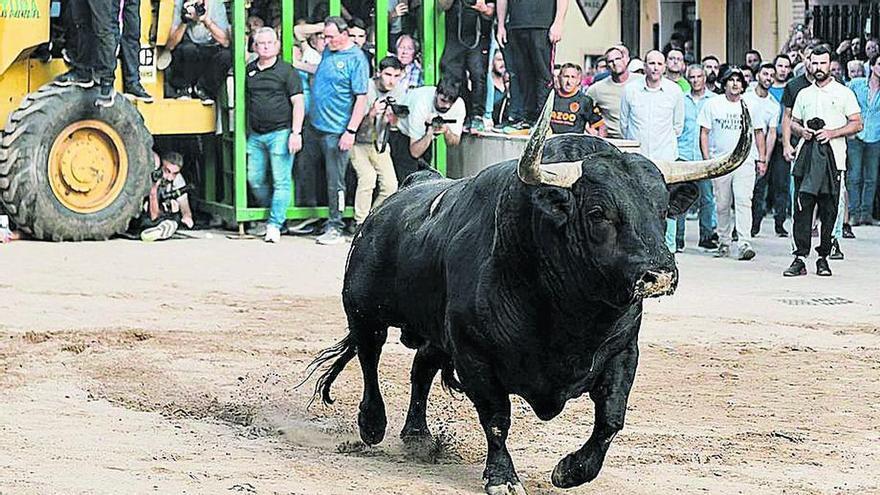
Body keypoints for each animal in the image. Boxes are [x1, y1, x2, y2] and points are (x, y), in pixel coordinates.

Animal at [300, 101, 748, 495]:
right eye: (598, 212)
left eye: (661, 209)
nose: (659, 275)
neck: (569, 315)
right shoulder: (475, 354)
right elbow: (497, 418)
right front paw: (502, 477)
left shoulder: (623, 351)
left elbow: (611, 419)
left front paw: (571, 471)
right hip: (364, 311)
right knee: (369, 357)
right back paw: (372, 424)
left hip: (435, 333)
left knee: (420, 367)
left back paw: (418, 436)